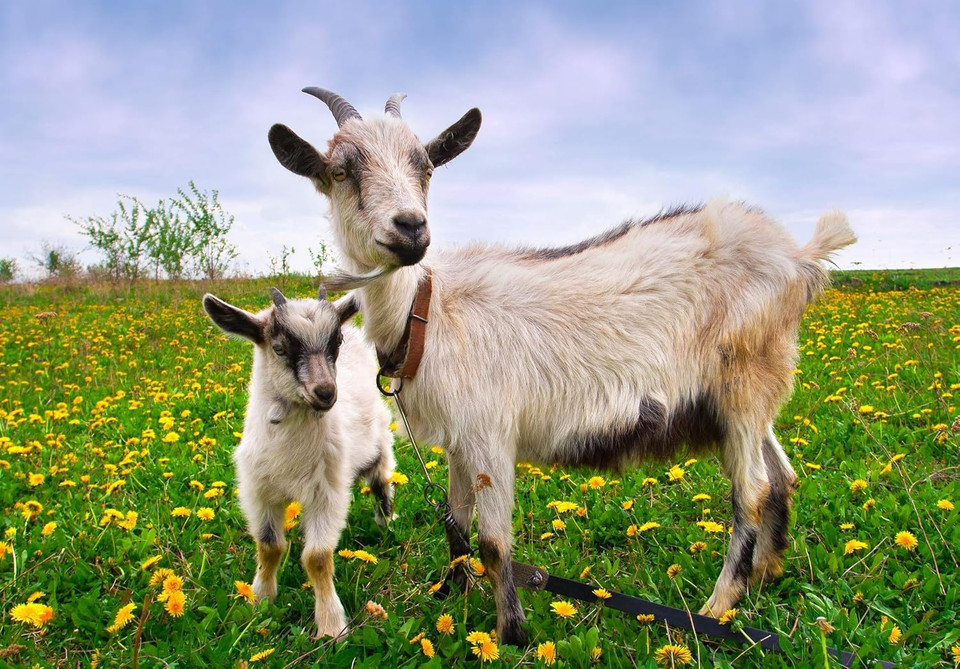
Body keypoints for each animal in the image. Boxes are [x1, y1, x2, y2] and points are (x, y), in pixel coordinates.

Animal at [202, 287, 396, 640]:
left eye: (335, 344)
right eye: (279, 348)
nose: (326, 392)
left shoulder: (326, 492)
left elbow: (317, 558)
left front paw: (331, 627)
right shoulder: (259, 491)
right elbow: (269, 547)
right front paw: (260, 599)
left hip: (376, 440)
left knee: (380, 478)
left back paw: (385, 520)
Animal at [266, 88, 857, 645]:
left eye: (426, 166)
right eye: (341, 171)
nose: (410, 228)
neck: (428, 310)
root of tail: (799, 258)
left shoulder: (490, 434)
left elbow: (493, 543)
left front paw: (512, 634)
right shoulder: (459, 441)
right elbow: (456, 524)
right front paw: (450, 595)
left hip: (743, 383)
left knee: (751, 490)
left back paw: (718, 605)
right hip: (749, 397)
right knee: (781, 475)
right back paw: (765, 575)